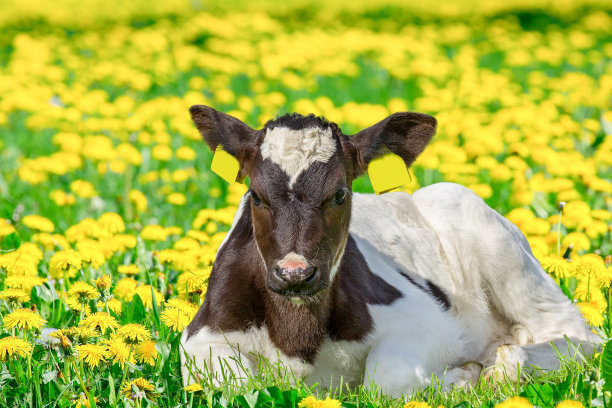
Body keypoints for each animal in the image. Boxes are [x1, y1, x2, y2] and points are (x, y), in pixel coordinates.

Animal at [179, 105, 600, 396]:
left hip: (492, 239)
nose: (294, 272)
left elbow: (387, 381)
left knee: (579, 335)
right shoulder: (199, 337)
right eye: (256, 195)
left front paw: (463, 377)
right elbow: (235, 382)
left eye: (339, 193)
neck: (298, 339)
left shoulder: (424, 320)